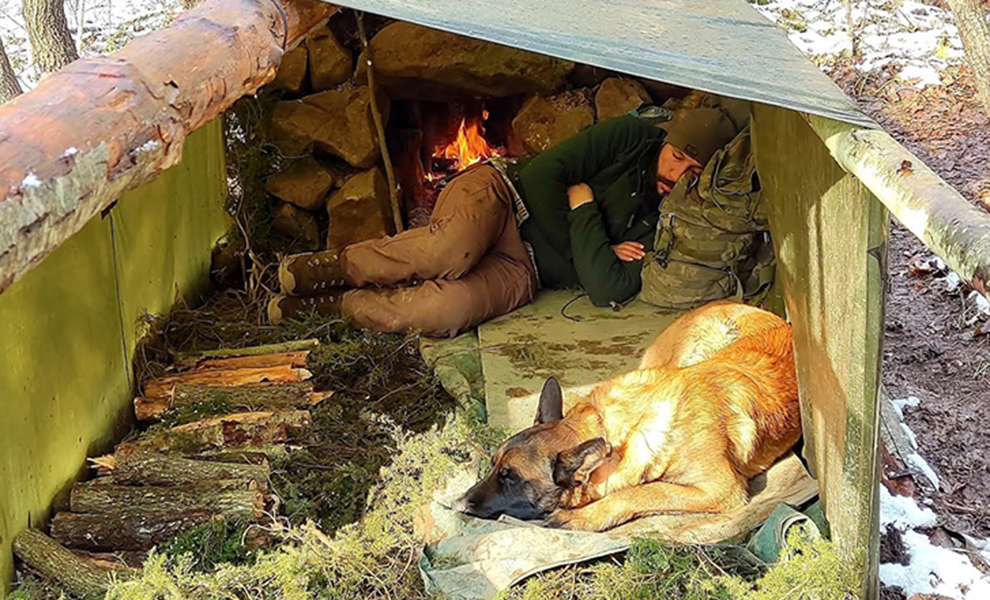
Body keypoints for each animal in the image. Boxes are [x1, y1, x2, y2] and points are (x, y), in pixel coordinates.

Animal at [454, 302, 804, 532]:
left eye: (510, 477)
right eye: (494, 466)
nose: (459, 503)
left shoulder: (720, 489)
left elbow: (645, 491)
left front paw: (587, 516)